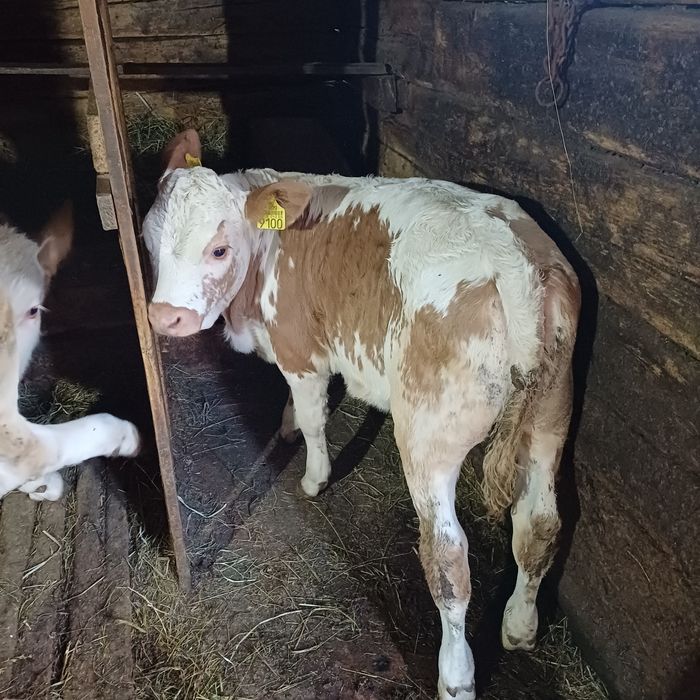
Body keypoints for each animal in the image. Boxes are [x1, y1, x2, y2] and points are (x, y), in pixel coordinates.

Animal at [144, 129, 580, 700]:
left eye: (217, 249)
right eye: (148, 242)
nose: (163, 318)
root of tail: (516, 262)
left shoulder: (301, 350)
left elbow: (313, 419)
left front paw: (313, 477)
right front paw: (286, 425)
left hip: (429, 436)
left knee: (448, 558)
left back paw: (455, 674)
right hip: (550, 416)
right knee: (539, 524)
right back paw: (520, 625)